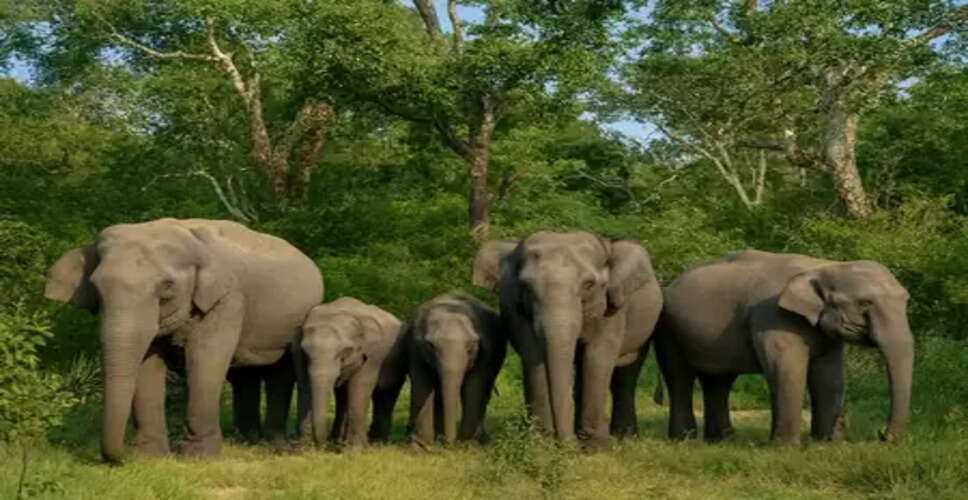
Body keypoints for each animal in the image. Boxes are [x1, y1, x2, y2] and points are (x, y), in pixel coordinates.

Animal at [44, 218, 323, 463]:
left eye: (167, 286)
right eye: (95, 287)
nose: (122, 457)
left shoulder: (228, 300)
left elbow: (206, 360)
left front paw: (199, 457)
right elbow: (147, 365)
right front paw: (149, 457)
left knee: (279, 374)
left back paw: (274, 445)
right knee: (246, 376)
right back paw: (246, 439)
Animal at [294, 297, 407, 448]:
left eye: (345, 351)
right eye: (305, 352)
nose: (321, 446)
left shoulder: (373, 353)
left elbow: (360, 386)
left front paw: (355, 449)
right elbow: (305, 385)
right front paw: (303, 448)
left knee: (386, 395)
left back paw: (375, 443)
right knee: (342, 396)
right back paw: (338, 441)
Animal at [406, 292, 506, 447]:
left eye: (470, 347)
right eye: (431, 346)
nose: (449, 444)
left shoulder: (484, 352)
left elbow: (474, 385)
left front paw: (471, 445)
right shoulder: (415, 348)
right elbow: (422, 384)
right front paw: (420, 447)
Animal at [473, 232, 663, 447]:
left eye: (589, 285)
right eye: (527, 287)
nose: (565, 443)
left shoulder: (611, 310)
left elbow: (596, 358)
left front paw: (596, 446)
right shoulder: (514, 306)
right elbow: (533, 355)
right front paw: (542, 442)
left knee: (625, 374)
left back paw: (623, 437)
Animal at [654, 250, 913, 444]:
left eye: (906, 300)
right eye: (865, 303)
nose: (882, 435)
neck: (821, 266)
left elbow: (829, 377)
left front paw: (827, 443)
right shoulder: (772, 317)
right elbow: (787, 370)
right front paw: (785, 447)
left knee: (718, 381)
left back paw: (721, 440)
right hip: (668, 329)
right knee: (679, 377)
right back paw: (684, 439)